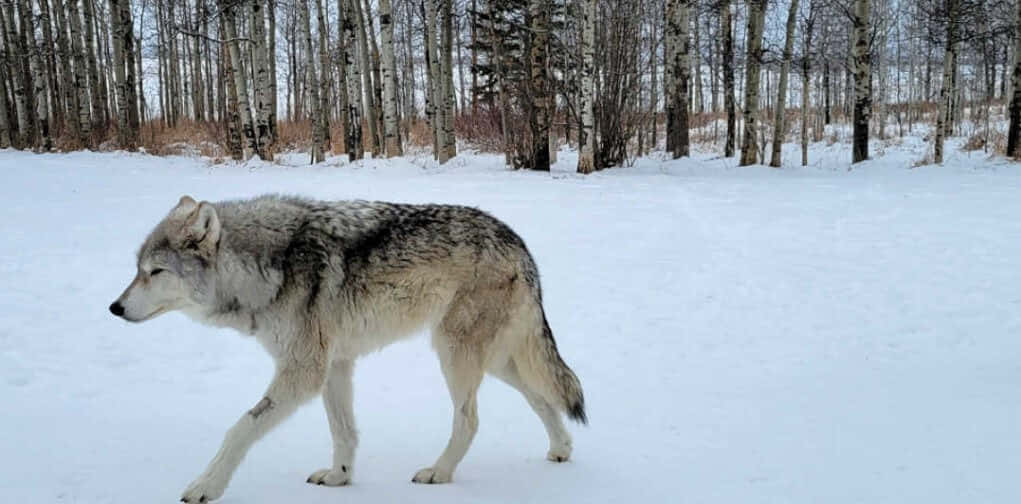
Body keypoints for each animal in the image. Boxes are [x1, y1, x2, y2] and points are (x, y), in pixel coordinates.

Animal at [109, 195, 586, 502]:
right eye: (137, 270)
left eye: (155, 272)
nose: (114, 308)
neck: (270, 268)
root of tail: (520, 244)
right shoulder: (334, 365)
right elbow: (343, 431)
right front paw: (340, 479)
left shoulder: (303, 371)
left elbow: (240, 428)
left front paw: (206, 486)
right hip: (498, 361)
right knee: (543, 399)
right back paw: (561, 449)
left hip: (454, 353)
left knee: (469, 420)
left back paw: (439, 472)